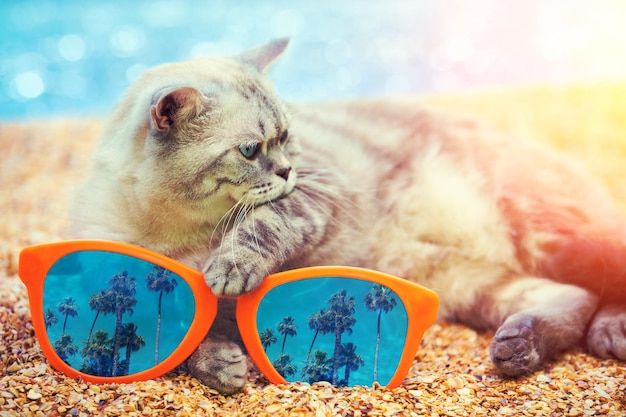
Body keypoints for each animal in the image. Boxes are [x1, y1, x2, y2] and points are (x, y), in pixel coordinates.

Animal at [69, 39, 624, 394]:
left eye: (286, 137)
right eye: (250, 150)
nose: (288, 169)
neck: (182, 233)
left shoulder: (317, 192)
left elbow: (264, 224)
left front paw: (232, 266)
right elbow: (184, 338)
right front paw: (221, 364)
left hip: (551, 237)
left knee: (600, 283)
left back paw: (607, 333)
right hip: (459, 280)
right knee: (569, 298)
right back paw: (520, 345)